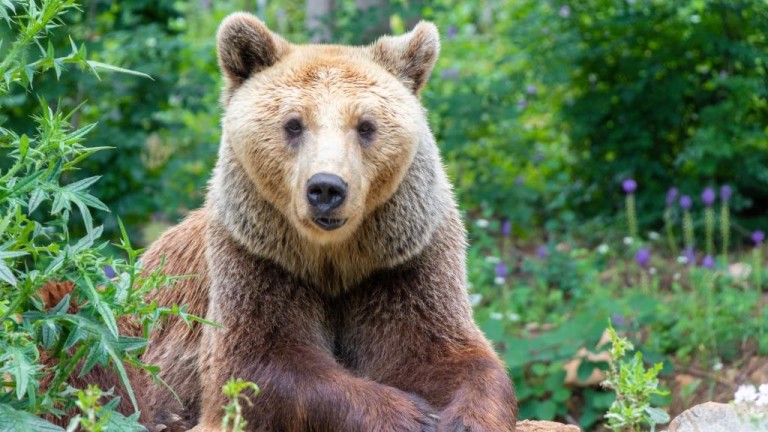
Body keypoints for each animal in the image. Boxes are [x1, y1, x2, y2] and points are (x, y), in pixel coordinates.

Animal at [54, 11, 520, 430]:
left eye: (366, 125)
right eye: (293, 124)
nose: (326, 188)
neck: (333, 259)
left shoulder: (403, 263)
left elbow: (445, 352)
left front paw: (463, 417)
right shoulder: (257, 259)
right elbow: (256, 363)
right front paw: (411, 415)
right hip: (114, 320)